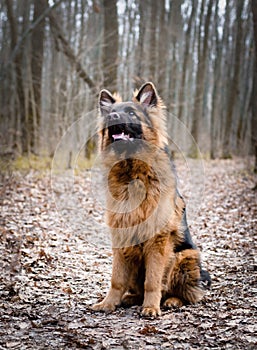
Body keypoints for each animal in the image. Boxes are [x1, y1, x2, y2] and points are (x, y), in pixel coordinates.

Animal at [92, 82, 210, 318]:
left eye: (131, 113)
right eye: (110, 113)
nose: (113, 117)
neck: (132, 173)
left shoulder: (158, 240)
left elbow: (153, 280)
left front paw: (151, 307)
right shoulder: (121, 236)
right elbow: (116, 279)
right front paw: (108, 303)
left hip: (183, 257)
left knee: (186, 294)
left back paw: (170, 301)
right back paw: (131, 298)